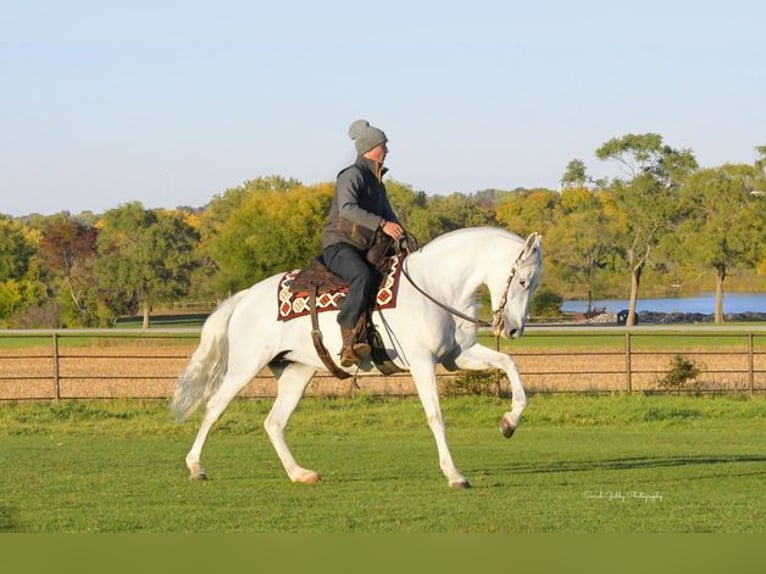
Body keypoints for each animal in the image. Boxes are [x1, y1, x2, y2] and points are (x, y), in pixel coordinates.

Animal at [174, 227, 544, 488]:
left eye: (534, 284)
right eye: (523, 281)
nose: (514, 330)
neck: (436, 286)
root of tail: (246, 296)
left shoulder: (458, 356)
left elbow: (511, 365)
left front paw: (509, 422)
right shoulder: (422, 362)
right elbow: (436, 417)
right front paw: (455, 475)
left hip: (296, 372)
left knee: (274, 422)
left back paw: (300, 474)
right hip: (244, 367)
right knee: (214, 407)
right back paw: (195, 467)